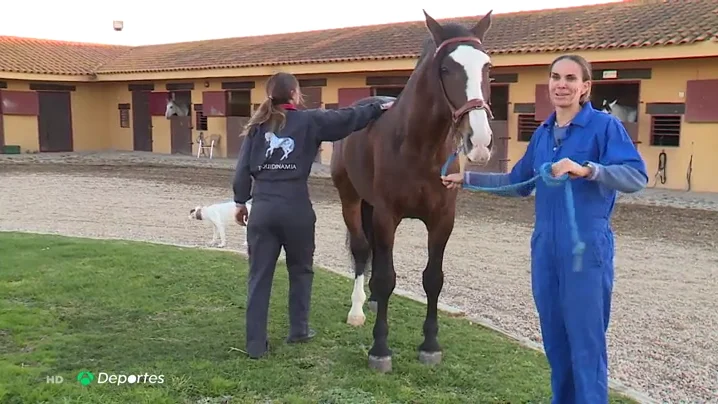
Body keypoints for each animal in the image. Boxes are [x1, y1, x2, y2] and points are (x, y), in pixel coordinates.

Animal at [330, 9, 495, 372]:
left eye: (487, 67)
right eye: (446, 69)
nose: (479, 142)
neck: (419, 148)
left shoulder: (442, 220)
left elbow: (433, 278)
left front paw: (430, 345)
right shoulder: (387, 216)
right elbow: (386, 278)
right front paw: (380, 350)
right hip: (351, 200)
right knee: (362, 252)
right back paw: (358, 309)